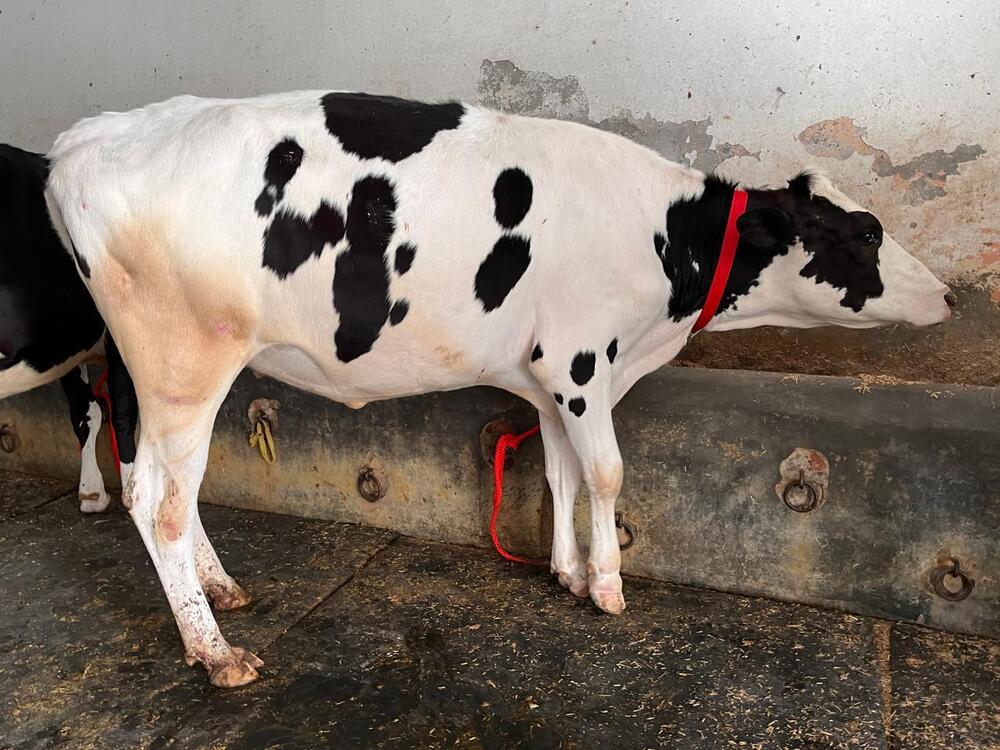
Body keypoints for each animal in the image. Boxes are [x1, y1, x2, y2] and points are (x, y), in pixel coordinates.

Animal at [45, 91, 953, 687]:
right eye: (866, 232)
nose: (949, 296)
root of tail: (86, 137)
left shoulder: (549, 377)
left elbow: (557, 472)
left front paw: (567, 572)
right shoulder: (582, 361)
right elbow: (606, 474)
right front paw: (610, 587)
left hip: (160, 371)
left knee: (165, 484)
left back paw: (222, 592)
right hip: (183, 362)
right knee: (157, 501)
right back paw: (214, 653)